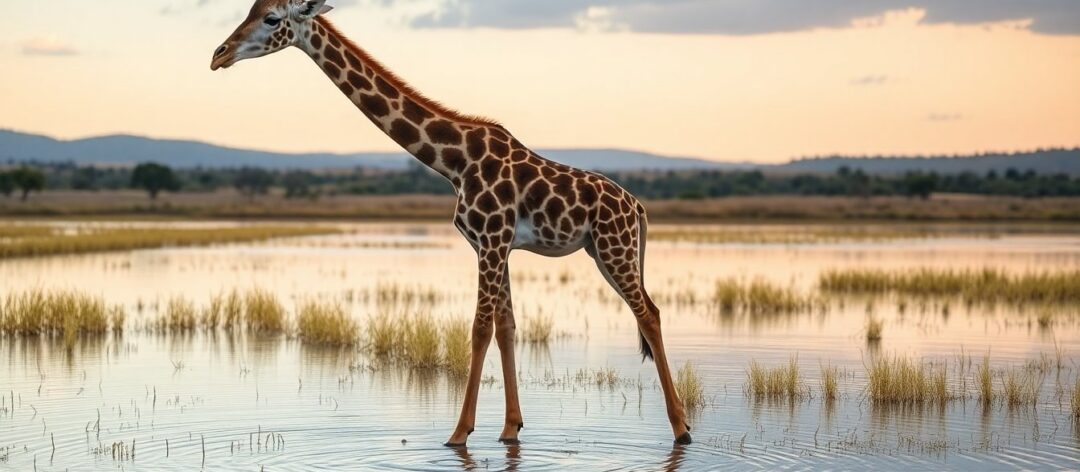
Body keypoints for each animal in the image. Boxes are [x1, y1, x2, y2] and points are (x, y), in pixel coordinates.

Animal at [211, 0, 691, 446]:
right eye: (249, 9)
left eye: (272, 18)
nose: (219, 55)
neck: (454, 162)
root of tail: (638, 207)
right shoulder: (494, 244)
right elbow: (506, 327)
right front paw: (510, 429)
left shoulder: (492, 239)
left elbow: (479, 329)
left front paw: (459, 432)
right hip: (601, 249)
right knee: (648, 310)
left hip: (614, 247)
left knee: (648, 313)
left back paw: (682, 427)